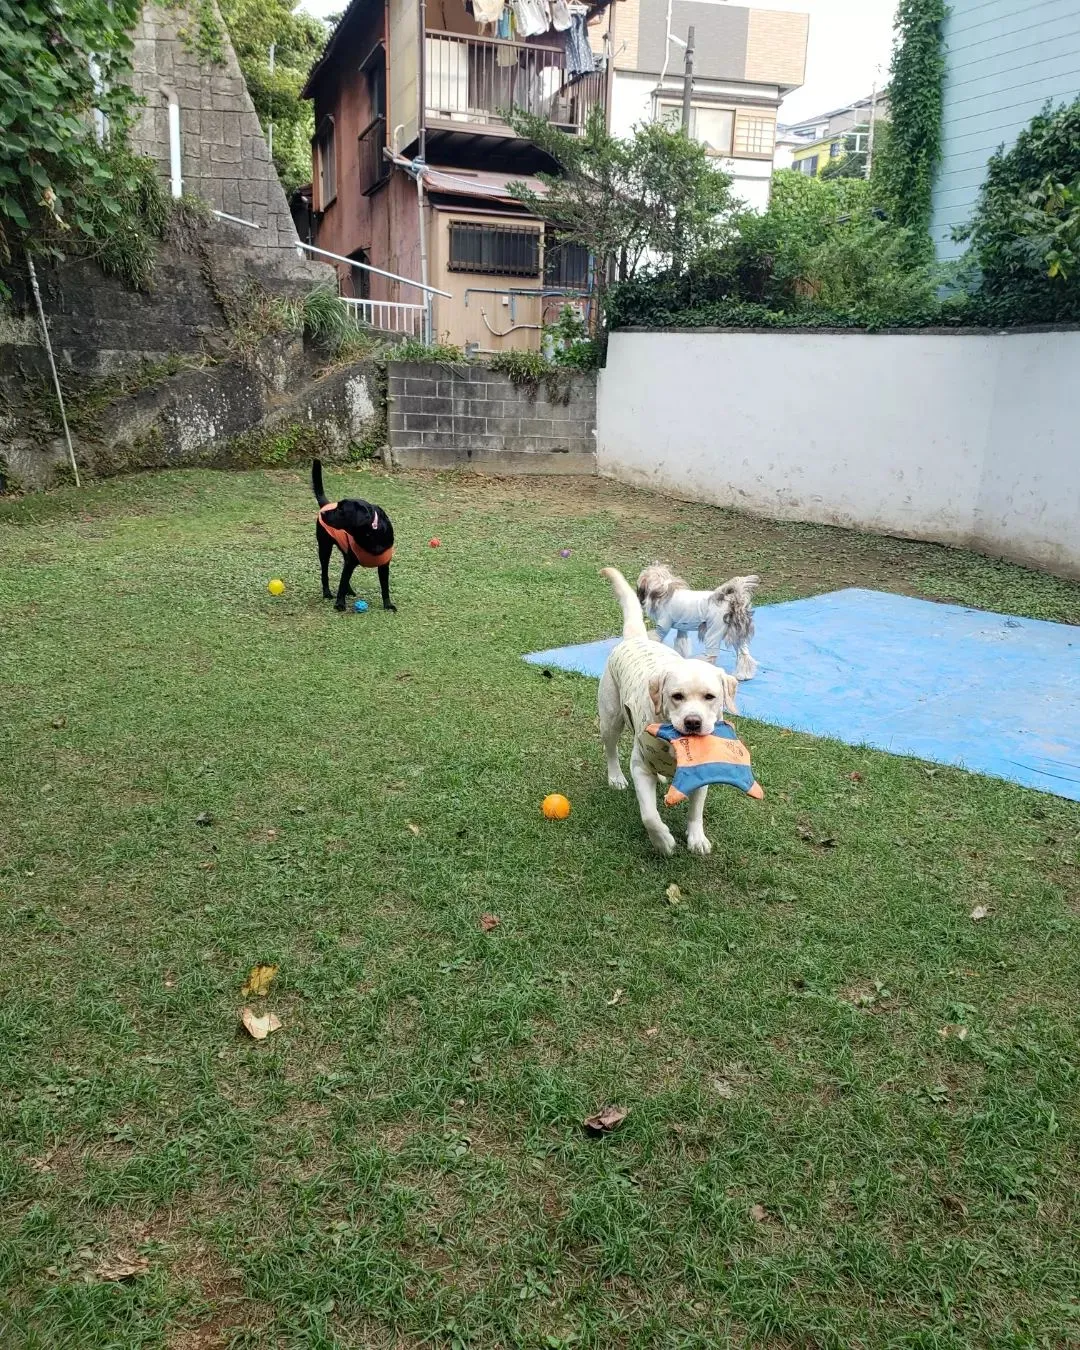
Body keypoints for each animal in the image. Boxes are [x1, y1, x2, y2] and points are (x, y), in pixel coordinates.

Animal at [311, 461, 396, 615]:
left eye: (341, 509)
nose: (323, 513)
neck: (371, 533)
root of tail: (325, 504)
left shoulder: (384, 565)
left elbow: (385, 588)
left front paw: (388, 605)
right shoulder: (350, 562)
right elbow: (341, 584)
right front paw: (339, 604)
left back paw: (349, 591)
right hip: (324, 548)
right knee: (325, 573)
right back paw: (327, 593)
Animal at [594, 567, 739, 853]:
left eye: (710, 697)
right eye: (676, 696)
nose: (693, 722)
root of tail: (636, 639)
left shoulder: (701, 775)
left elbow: (696, 811)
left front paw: (697, 838)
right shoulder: (640, 767)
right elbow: (649, 815)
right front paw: (662, 842)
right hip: (611, 718)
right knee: (611, 749)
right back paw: (616, 777)